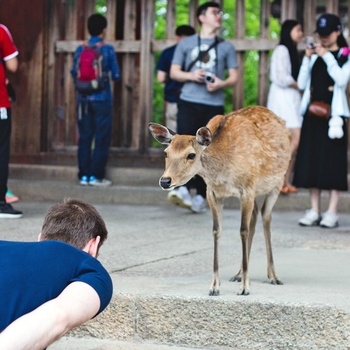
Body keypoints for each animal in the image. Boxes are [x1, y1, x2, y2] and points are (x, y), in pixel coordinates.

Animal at [149, 106, 292, 296]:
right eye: (166, 153)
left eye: (191, 155)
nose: (165, 181)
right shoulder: (213, 192)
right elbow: (217, 231)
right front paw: (215, 287)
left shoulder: (248, 187)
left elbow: (243, 231)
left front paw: (244, 288)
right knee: (255, 217)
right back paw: (238, 274)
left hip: (276, 184)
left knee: (265, 217)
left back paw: (273, 276)